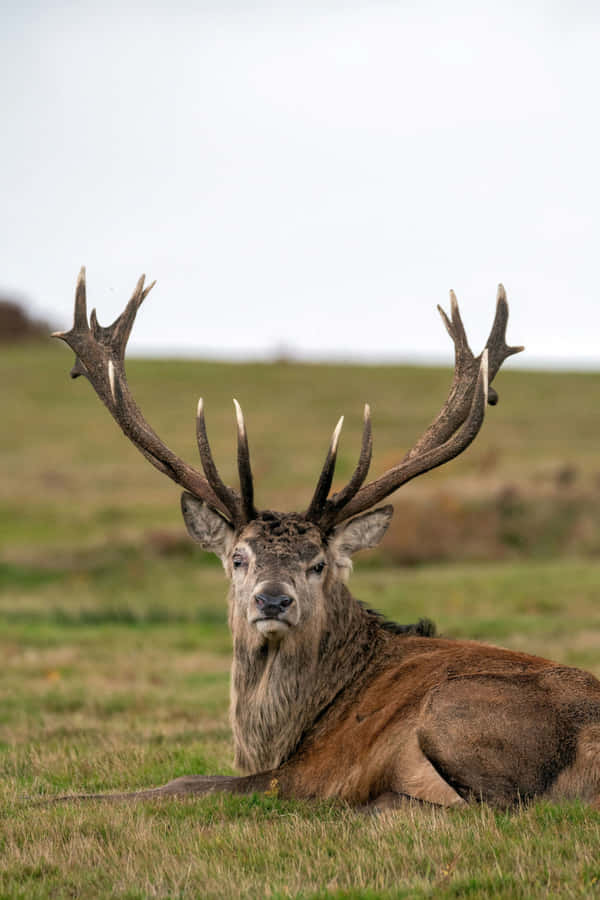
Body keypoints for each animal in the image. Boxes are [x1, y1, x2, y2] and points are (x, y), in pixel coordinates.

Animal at [51, 269, 600, 811]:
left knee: (494, 805)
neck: (283, 733)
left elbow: (184, 783)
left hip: (455, 709)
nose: (273, 601)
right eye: (238, 558)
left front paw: (56, 799)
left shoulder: (310, 771)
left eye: (318, 563)